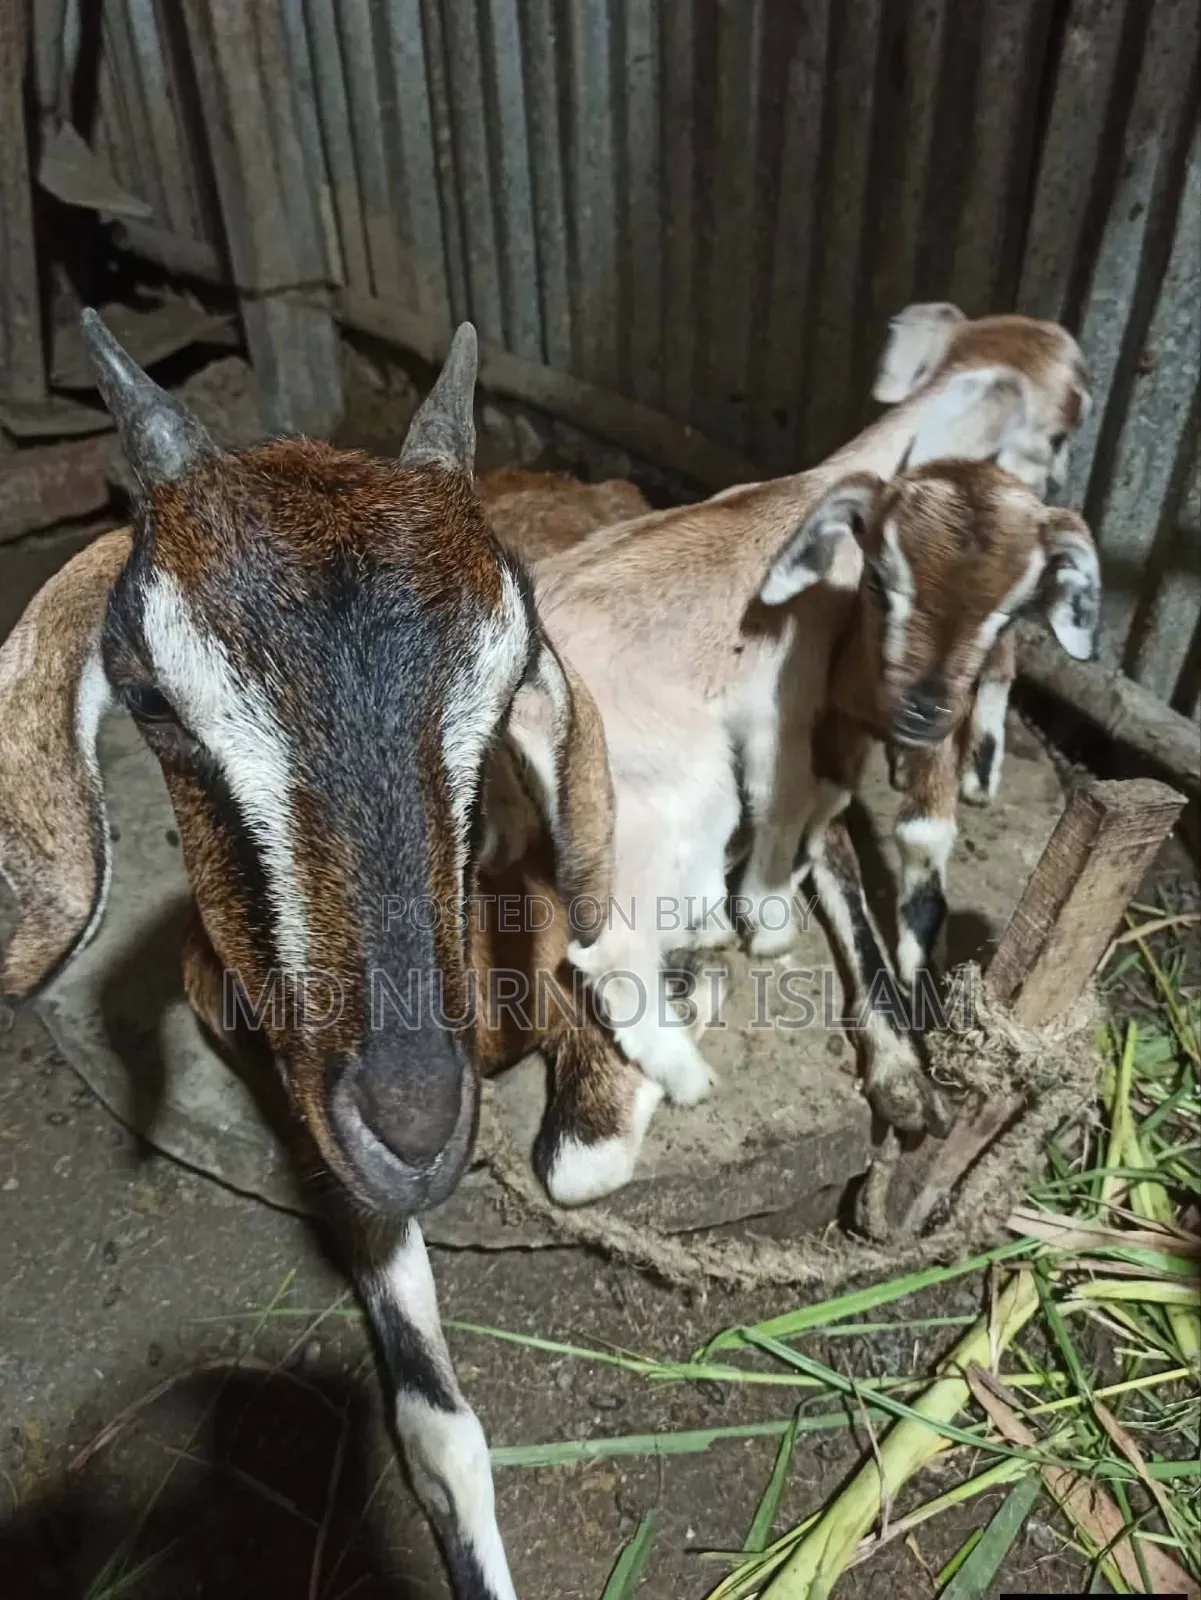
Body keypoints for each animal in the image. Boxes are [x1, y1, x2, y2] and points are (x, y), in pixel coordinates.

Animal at [523, 309, 1098, 1136]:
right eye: (1058, 429)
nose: (1055, 481)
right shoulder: (787, 708)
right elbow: (789, 800)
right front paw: (769, 923)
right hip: (670, 782)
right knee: (608, 943)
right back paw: (685, 1070)